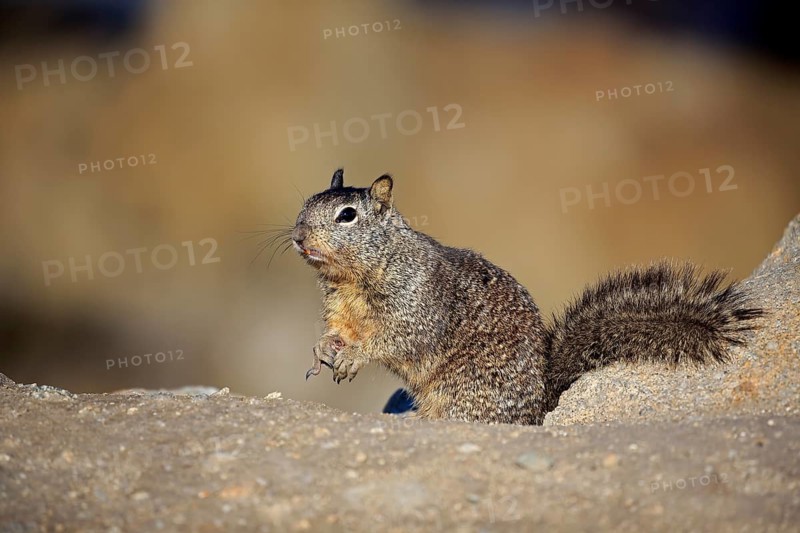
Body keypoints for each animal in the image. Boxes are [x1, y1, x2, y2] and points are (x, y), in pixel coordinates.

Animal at [291, 168, 763, 425]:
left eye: (347, 215)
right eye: (307, 203)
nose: (297, 237)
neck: (351, 279)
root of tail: (540, 407)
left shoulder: (417, 304)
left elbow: (396, 339)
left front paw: (353, 356)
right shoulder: (340, 310)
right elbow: (338, 331)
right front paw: (323, 348)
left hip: (460, 394)